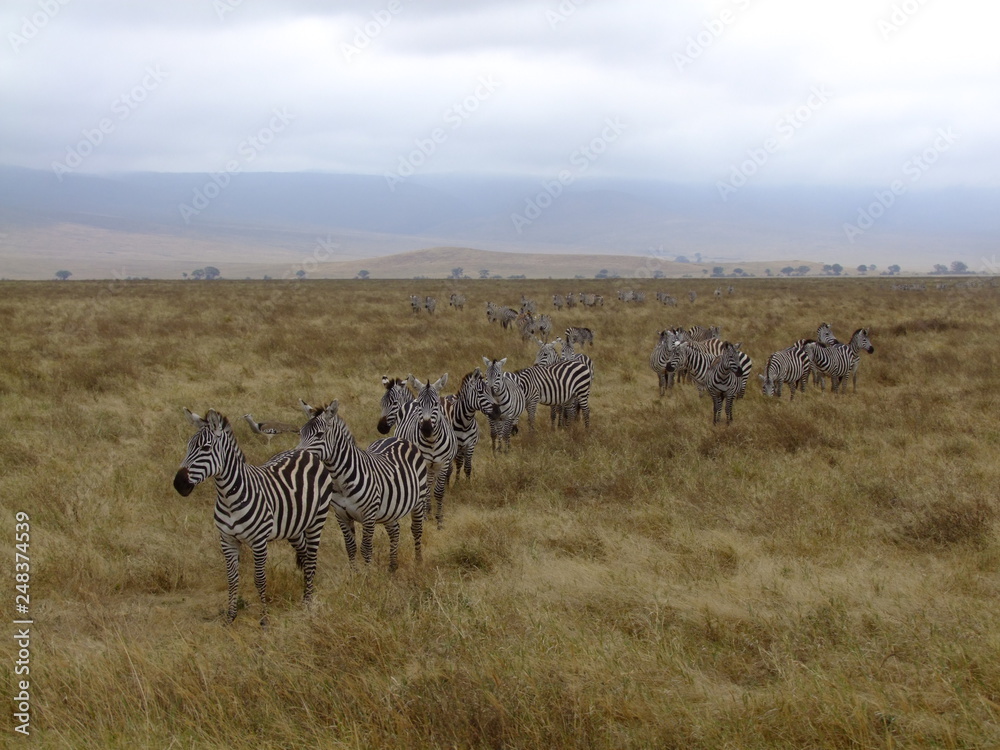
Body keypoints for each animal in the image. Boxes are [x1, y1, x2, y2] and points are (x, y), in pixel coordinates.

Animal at [173, 408, 334, 626]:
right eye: (189, 446)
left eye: (205, 448)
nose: (178, 484)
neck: (228, 497)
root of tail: (306, 452)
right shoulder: (227, 540)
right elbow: (232, 579)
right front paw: (230, 617)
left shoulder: (258, 541)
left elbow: (259, 579)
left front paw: (264, 619)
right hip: (293, 526)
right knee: (304, 555)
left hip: (316, 520)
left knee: (311, 560)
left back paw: (307, 602)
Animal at [297, 400, 427, 572]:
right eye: (301, 433)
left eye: (319, 434)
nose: (298, 454)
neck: (340, 481)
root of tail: (398, 438)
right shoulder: (341, 516)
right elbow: (350, 547)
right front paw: (354, 574)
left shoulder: (369, 515)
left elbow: (366, 547)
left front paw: (368, 574)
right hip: (390, 509)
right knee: (395, 531)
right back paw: (392, 567)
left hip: (419, 500)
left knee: (416, 529)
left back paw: (418, 562)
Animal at [396, 374, 458, 529]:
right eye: (420, 404)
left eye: (436, 404)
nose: (426, 429)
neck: (432, 441)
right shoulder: (422, 462)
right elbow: (426, 491)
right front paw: (424, 517)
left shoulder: (444, 463)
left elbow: (439, 491)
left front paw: (439, 520)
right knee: (426, 486)